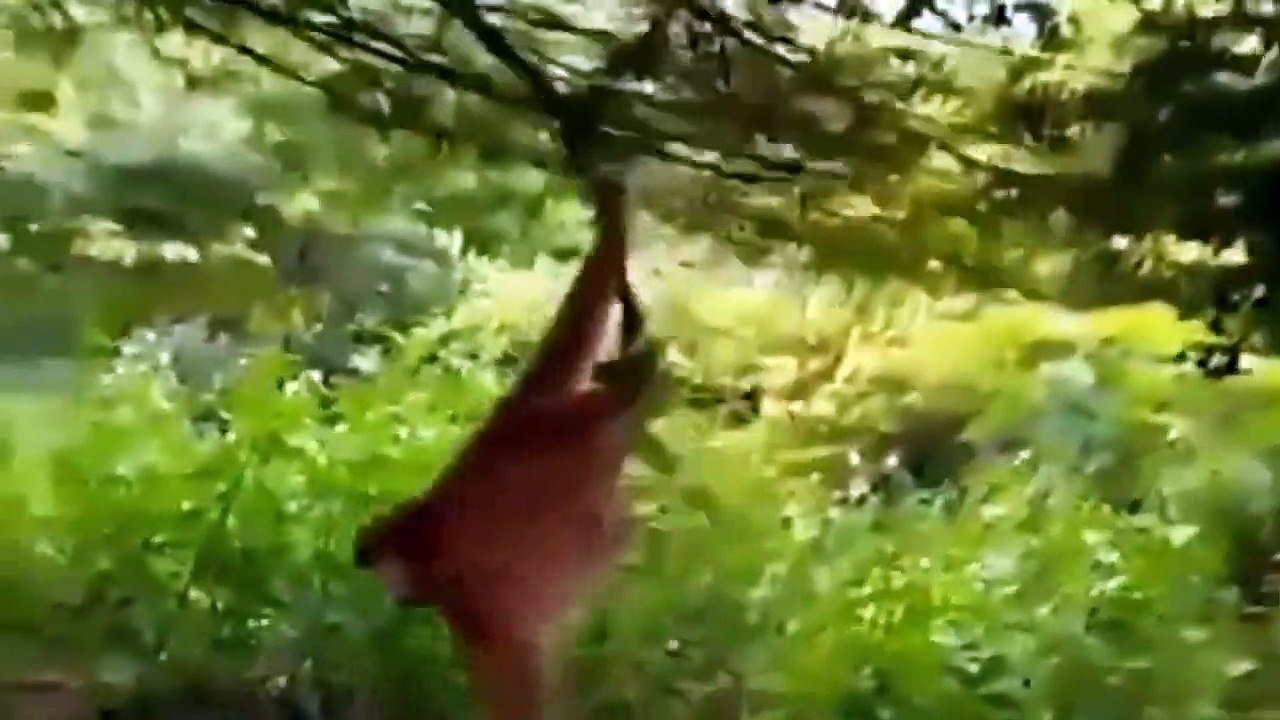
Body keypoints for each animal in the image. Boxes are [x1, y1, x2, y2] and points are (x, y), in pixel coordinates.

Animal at [352, 169, 660, 720]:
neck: (422, 529)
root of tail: (505, 424)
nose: (393, 594)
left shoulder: (466, 600)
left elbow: (517, 672)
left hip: (557, 427)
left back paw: (638, 372)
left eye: (385, 575)